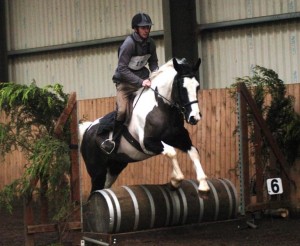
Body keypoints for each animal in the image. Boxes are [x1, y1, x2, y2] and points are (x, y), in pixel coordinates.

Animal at [80, 57, 209, 194]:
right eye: (182, 88)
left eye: (197, 86)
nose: (194, 117)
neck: (161, 108)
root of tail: (87, 130)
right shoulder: (147, 142)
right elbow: (171, 152)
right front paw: (176, 179)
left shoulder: (179, 138)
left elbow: (193, 152)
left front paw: (203, 185)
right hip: (97, 172)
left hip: (115, 167)